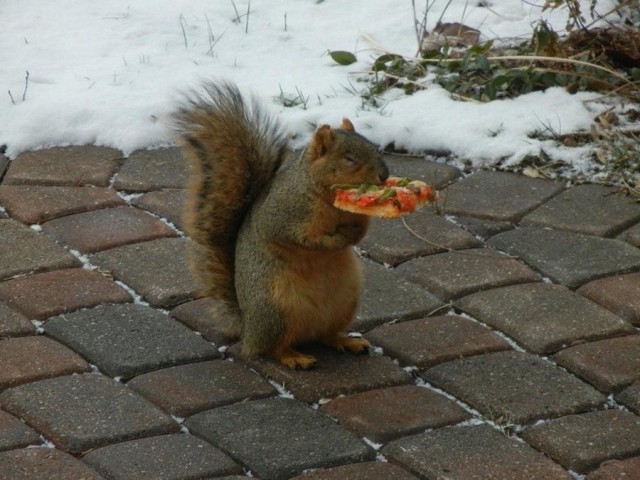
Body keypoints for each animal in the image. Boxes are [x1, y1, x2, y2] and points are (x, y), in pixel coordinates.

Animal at [172, 81, 390, 368]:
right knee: (272, 348)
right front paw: (334, 240)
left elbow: (361, 230)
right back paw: (294, 357)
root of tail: (248, 328)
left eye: (376, 148)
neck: (328, 197)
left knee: (327, 336)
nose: (385, 176)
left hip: (345, 303)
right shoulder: (283, 214)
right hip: (276, 311)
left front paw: (354, 235)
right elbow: (300, 237)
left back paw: (347, 341)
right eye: (349, 159)